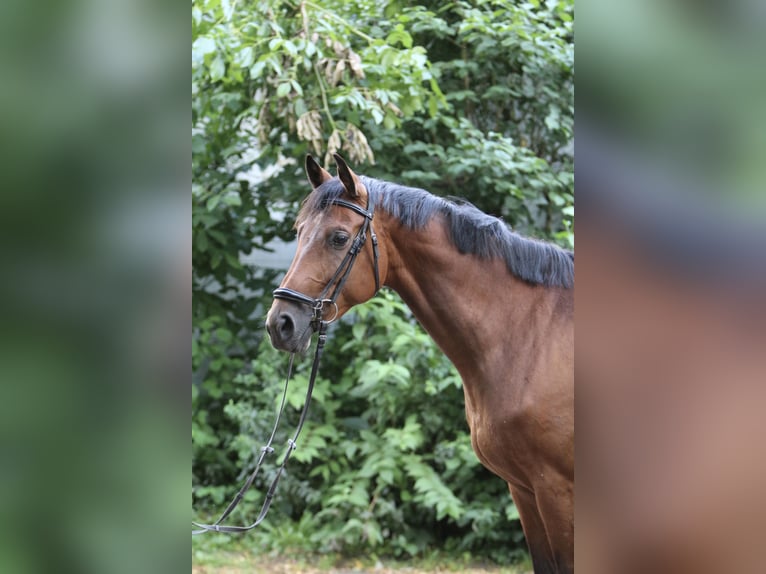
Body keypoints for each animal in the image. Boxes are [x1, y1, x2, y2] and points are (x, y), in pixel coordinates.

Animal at [268, 155, 572, 572]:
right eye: (299, 232)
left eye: (339, 238)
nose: (280, 324)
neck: (530, 334)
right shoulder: (524, 490)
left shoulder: (556, 492)